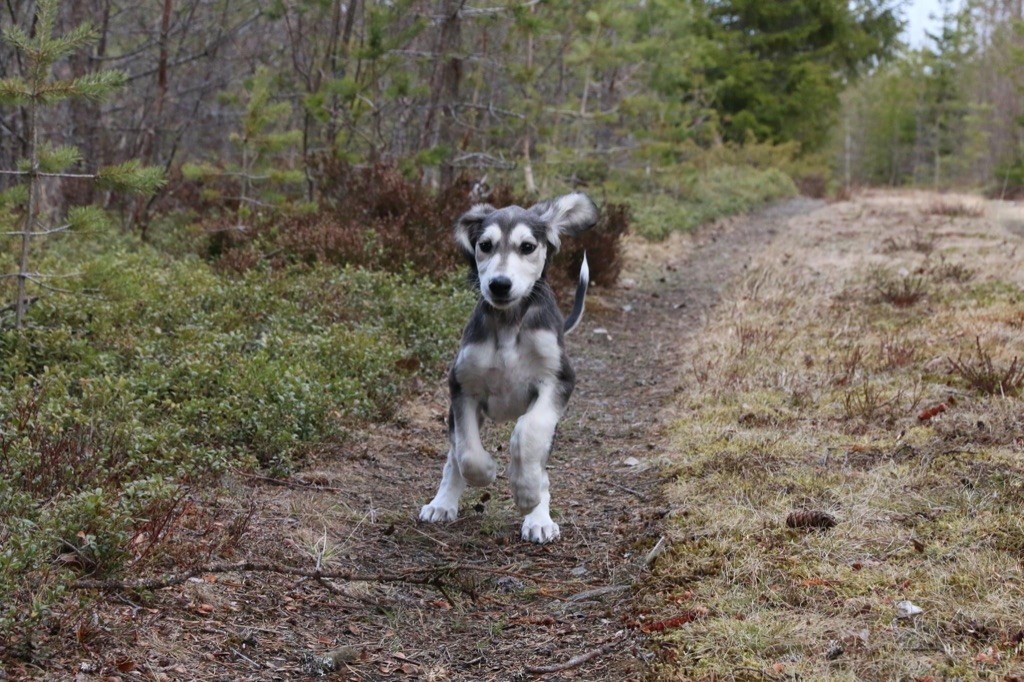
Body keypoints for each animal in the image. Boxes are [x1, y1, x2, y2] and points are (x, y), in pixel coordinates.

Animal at [417, 191, 598, 540]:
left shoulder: (559, 380)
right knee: (454, 456)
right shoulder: (462, 386)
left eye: (527, 246)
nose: (499, 284)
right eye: (485, 245)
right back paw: (443, 502)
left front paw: (526, 491)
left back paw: (538, 515)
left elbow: (528, 430)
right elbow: (467, 453)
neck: (509, 323)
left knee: (539, 459)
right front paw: (485, 471)